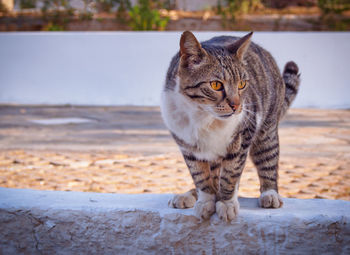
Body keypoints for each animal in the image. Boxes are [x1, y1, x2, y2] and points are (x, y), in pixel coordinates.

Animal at [161, 30, 300, 221]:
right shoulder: (186, 144)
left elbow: (230, 174)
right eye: (216, 85)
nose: (236, 105)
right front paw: (206, 200)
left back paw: (270, 193)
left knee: (267, 159)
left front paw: (226, 203)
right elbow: (200, 176)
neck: (203, 116)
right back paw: (188, 195)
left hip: (267, 130)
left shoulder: (243, 135)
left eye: (242, 84)